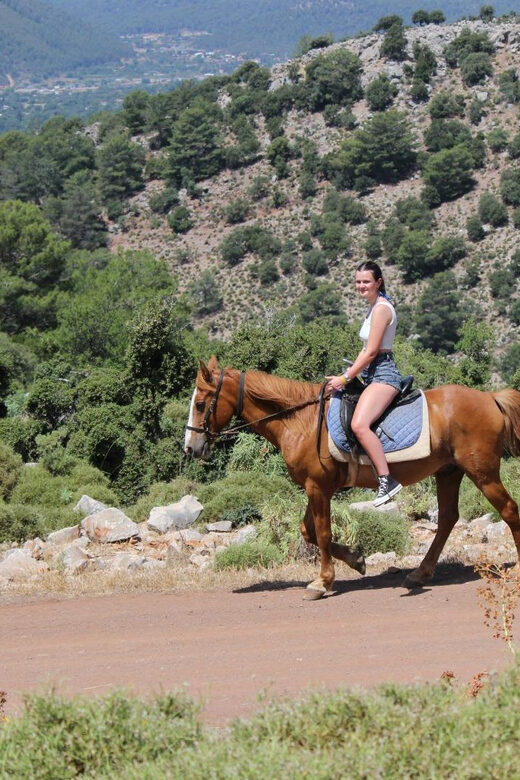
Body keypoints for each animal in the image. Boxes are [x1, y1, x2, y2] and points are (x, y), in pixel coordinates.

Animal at [184, 355, 520, 600]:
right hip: (449, 472)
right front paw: (356, 559)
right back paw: (420, 573)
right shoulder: (315, 487)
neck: (300, 420)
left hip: (482, 472)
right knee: (448, 518)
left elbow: (321, 533)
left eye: (201, 404)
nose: (191, 447)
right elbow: (308, 531)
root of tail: (490, 398)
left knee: (508, 510)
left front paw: (322, 582)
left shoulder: (318, 488)